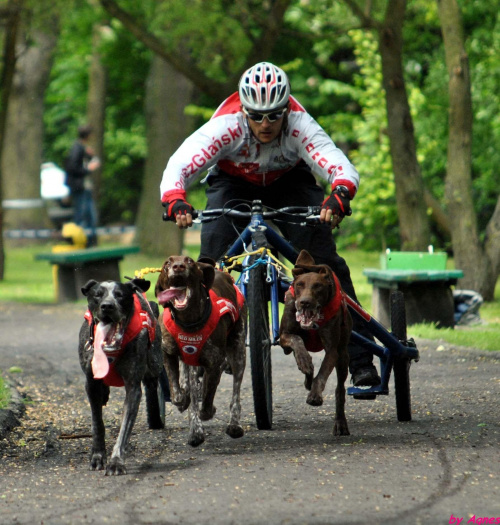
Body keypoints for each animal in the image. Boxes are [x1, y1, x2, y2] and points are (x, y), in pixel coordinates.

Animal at [153, 256, 245, 444]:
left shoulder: (214, 363)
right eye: (167, 263)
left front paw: (205, 413)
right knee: (190, 386)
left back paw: (234, 425)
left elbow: (208, 396)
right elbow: (179, 394)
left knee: (235, 393)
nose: (178, 266)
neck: (188, 321)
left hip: (238, 351)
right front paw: (190, 415)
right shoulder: (168, 353)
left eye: (189, 261)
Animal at [278, 250, 352, 434]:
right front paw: (305, 362)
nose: (304, 302)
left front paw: (315, 396)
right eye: (299, 285)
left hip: (343, 356)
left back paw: (340, 422)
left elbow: (322, 373)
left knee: (340, 389)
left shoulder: (332, 350)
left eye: (318, 286)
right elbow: (296, 340)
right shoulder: (284, 336)